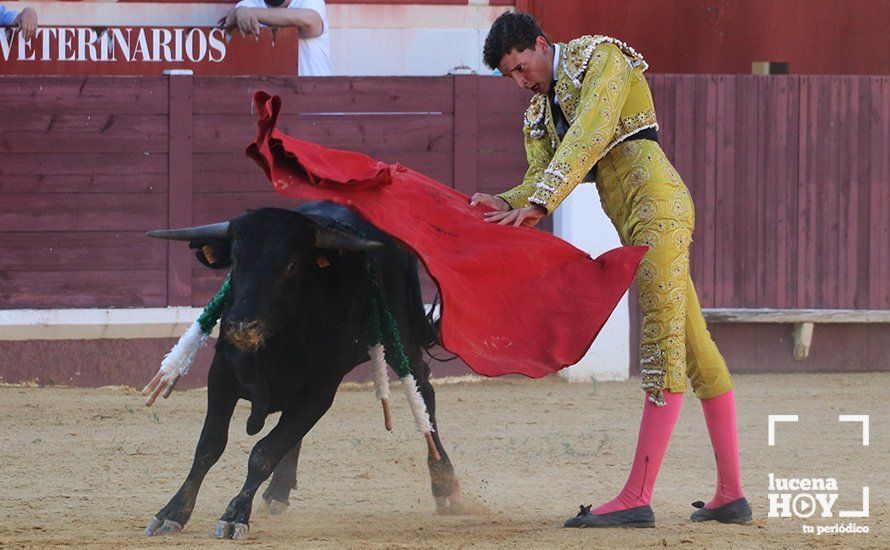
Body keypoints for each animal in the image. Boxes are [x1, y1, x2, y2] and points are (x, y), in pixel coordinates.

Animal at [142, 203, 462, 544]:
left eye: (292, 264)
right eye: (237, 261)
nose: (241, 325)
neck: (275, 346)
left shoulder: (319, 392)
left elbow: (264, 452)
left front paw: (234, 516)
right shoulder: (221, 377)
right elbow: (209, 446)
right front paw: (172, 513)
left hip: (403, 335)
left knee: (423, 390)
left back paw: (445, 484)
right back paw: (278, 491)